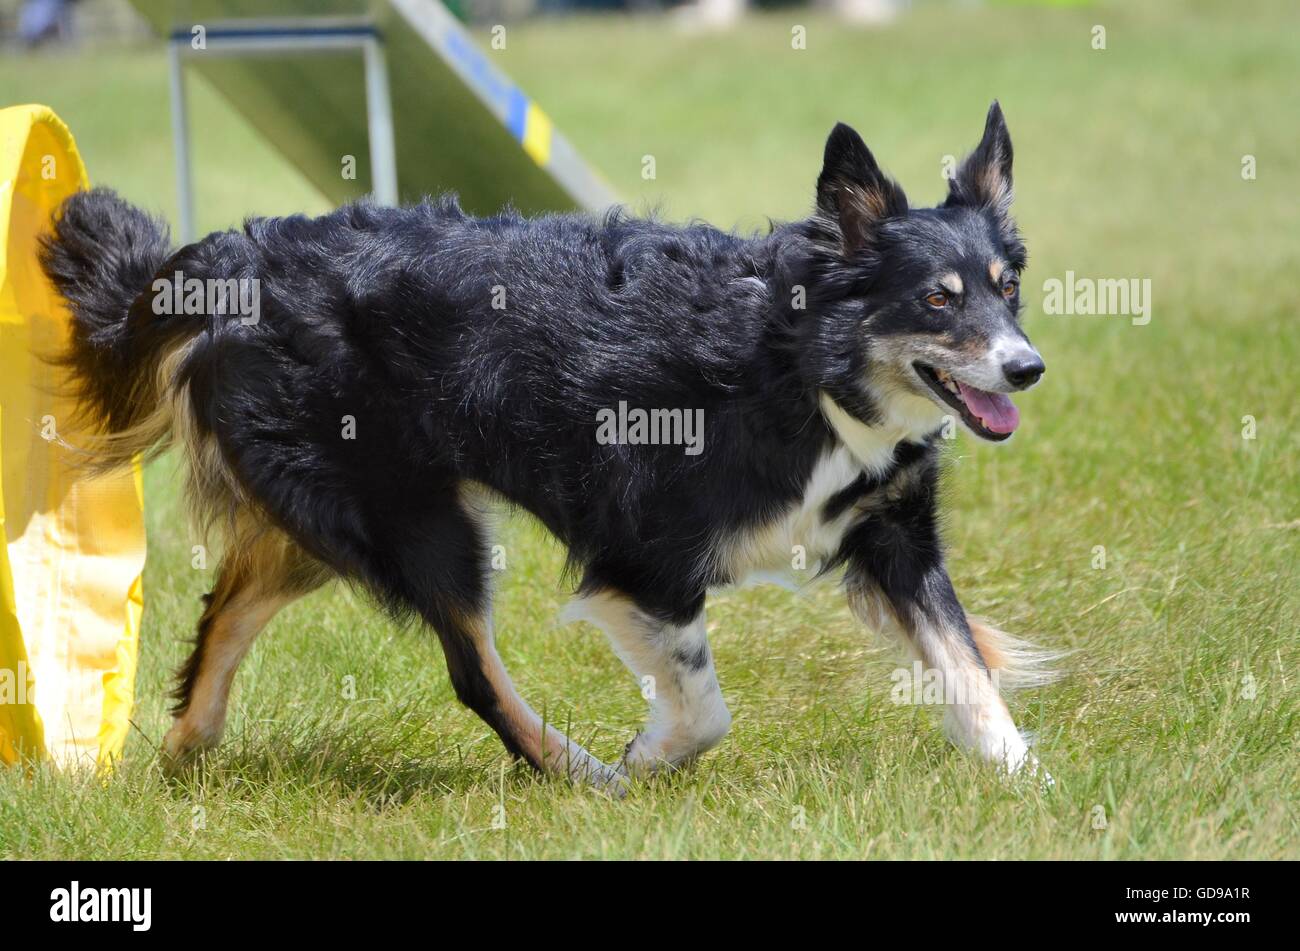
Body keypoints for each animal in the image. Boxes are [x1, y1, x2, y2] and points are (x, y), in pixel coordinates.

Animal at [40, 101, 1050, 789]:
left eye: (1007, 287)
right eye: (937, 299)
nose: (1028, 367)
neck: (800, 361)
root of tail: (238, 261)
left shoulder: (893, 530)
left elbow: (964, 664)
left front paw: (1027, 782)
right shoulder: (644, 555)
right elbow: (704, 706)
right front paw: (646, 759)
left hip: (327, 516)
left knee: (229, 605)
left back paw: (186, 747)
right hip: (414, 517)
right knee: (470, 672)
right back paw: (576, 772)